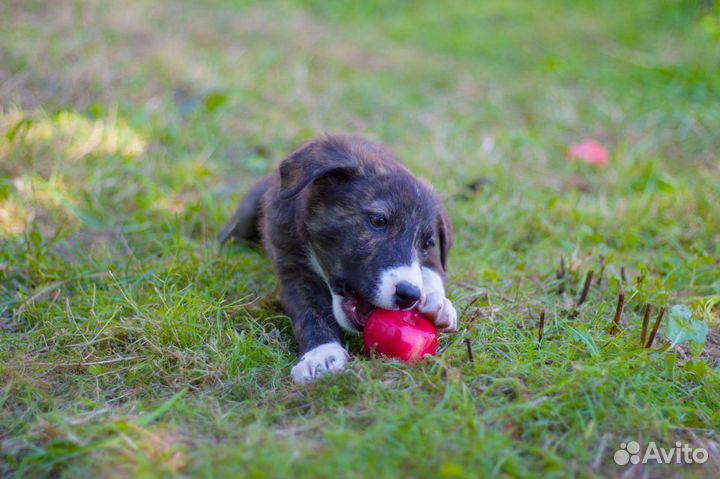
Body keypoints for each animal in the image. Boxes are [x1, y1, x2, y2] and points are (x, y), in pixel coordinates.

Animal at [217, 134, 458, 382]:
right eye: (378, 221)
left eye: (427, 244)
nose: (409, 294)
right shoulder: (293, 269)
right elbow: (311, 312)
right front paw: (321, 355)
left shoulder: (433, 257)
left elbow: (432, 270)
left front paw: (438, 303)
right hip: (244, 219)